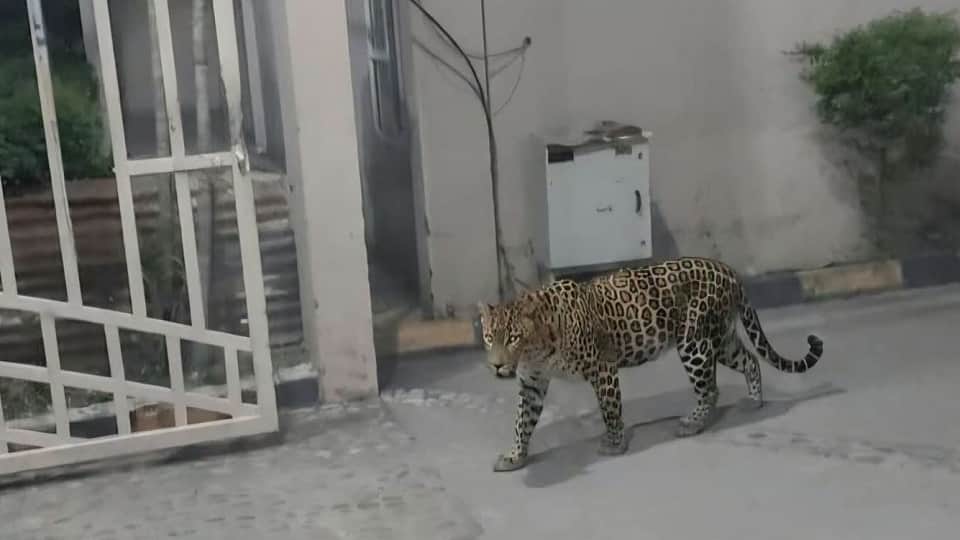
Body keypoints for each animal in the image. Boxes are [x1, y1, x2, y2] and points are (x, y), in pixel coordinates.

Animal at [477, 256, 824, 472]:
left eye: (513, 338)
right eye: (489, 337)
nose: (496, 367)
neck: (536, 349)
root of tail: (728, 268)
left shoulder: (602, 367)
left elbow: (610, 409)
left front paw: (615, 444)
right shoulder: (532, 382)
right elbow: (522, 421)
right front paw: (515, 456)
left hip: (694, 342)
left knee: (710, 388)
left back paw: (692, 423)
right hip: (721, 338)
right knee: (749, 360)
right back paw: (753, 400)